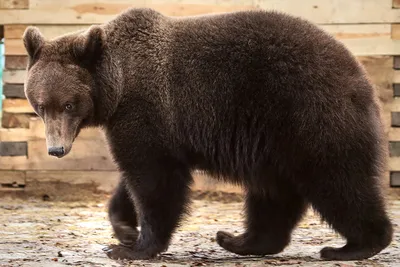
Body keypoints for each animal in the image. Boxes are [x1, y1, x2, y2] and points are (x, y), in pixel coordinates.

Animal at [22, 7, 394, 262]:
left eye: (68, 104)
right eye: (40, 105)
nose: (56, 149)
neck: (117, 85)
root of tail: (360, 76)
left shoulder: (146, 111)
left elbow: (154, 180)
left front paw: (133, 247)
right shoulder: (141, 125)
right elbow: (135, 178)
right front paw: (124, 229)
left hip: (309, 115)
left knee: (339, 182)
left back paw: (354, 245)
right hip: (273, 141)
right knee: (273, 193)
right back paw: (238, 240)